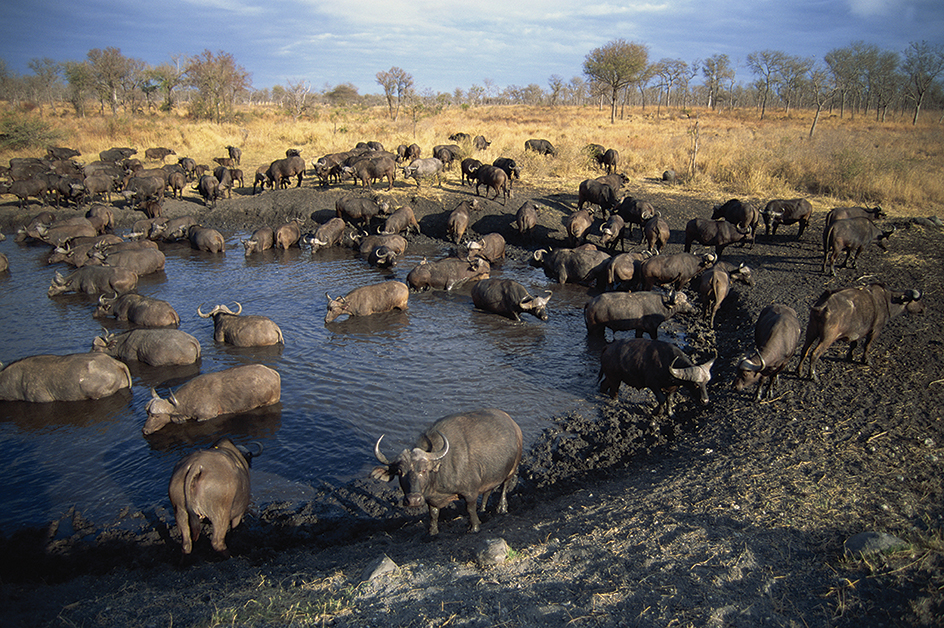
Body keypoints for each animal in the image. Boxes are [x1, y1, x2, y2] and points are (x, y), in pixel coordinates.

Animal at [370, 410, 524, 536]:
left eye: (424, 470)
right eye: (400, 472)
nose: (413, 500)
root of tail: (513, 424)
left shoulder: (470, 493)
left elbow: (470, 509)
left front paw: (474, 527)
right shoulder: (431, 499)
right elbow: (433, 514)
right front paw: (432, 532)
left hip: (511, 469)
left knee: (504, 486)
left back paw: (501, 508)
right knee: (488, 491)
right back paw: (483, 509)